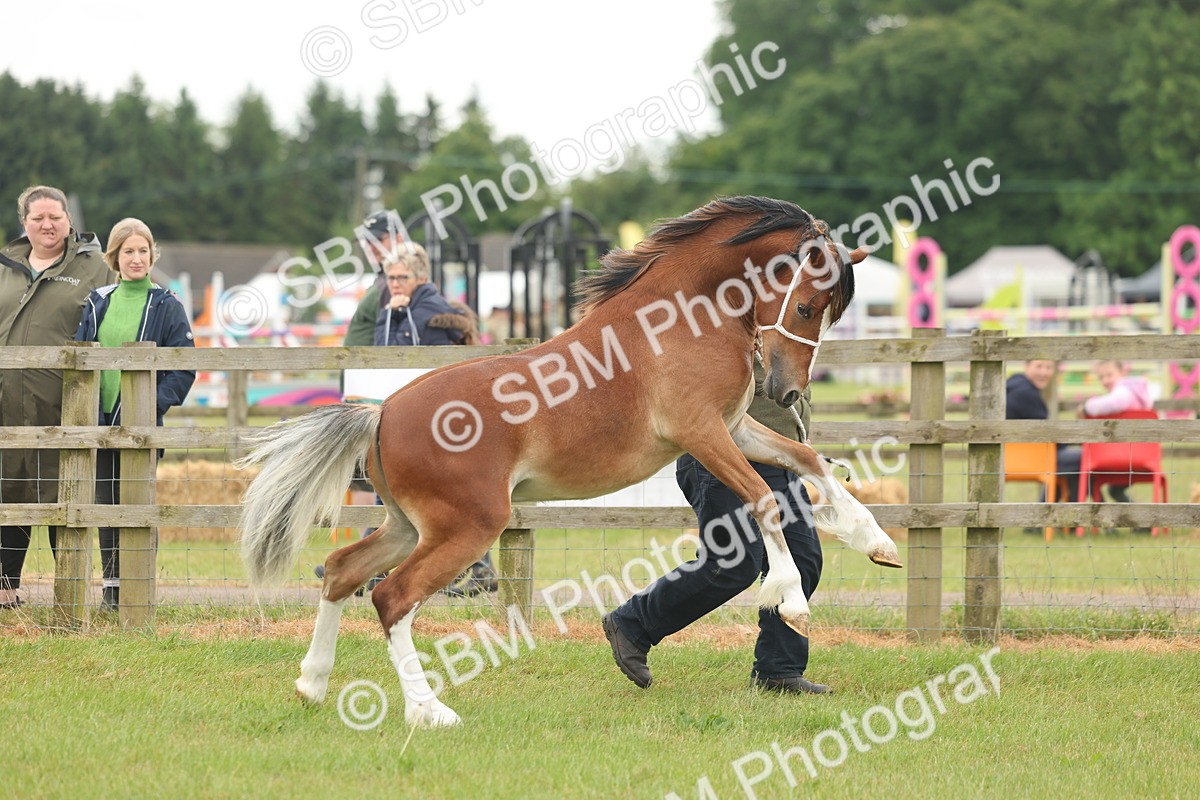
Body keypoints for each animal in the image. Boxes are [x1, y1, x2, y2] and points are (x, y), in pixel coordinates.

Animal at [238, 195, 902, 728]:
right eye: (807, 306)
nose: (787, 391)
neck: (683, 318)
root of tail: (381, 415)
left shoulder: (734, 426)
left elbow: (808, 458)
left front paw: (874, 539)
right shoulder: (701, 431)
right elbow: (764, 498)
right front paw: (790, 600)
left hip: (408, 525)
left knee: (342, 570)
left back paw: (312, 685)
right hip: (466, 527)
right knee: (392, 598)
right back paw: (429, 711)